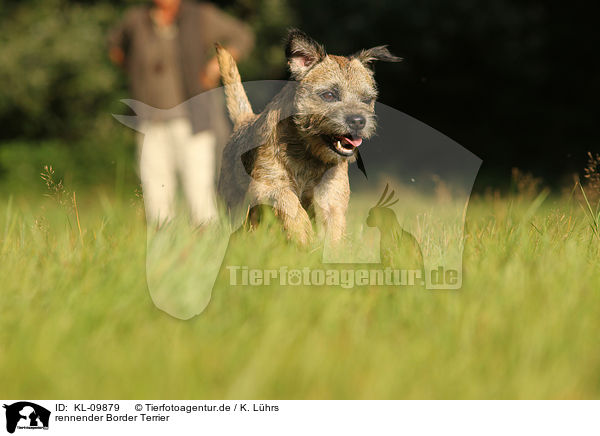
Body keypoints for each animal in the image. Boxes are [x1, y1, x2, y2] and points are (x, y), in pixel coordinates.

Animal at [214, 29, 398, 247]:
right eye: (329, 95)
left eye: (367, 99)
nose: (358, 121)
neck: (308, 154)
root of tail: (245, 120)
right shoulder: (267, 185)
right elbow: (288, 200)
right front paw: (302, 233)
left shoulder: (331, 196)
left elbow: (334, 229)